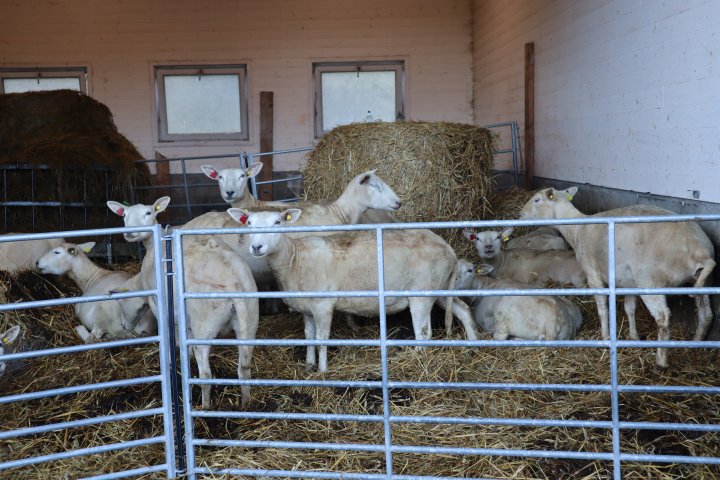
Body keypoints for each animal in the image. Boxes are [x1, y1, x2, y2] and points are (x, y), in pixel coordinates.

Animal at [108, 197, 260, 406]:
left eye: (148, 213)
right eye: (124, 215)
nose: (130, 232)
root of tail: (234, 284)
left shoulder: (159, 306)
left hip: (204, 326)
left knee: (206, 374)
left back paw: (205, 407)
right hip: (250, 320)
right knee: (244, 368)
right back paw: (245, 404)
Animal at [229, 208, 478, 374]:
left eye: (277, 222)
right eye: (248, 222)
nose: (256, 247)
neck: (294, 259)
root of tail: (447, 247)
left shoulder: (323, 305)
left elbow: (322, 339)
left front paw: (323, 371)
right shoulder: (307, 308)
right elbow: (308, 336)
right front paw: (309, 365)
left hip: (421, 293)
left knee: (424, 334)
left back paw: (417, 361)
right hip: (440, 288)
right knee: (463, 309)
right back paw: (474, 346)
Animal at [516, 186, 716, 366]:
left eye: (536, 200)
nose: (520, 214)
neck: (577, 228)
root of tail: (699, 251)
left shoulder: (593, 273)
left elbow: (603, 308)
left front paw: (605, 337)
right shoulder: (628, 281)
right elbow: (630, 308)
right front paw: (634, 337)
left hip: (650, 281)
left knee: (663, 318)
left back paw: (661, 361)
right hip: (703, 281)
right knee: (706, 315)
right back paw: (695, 345)